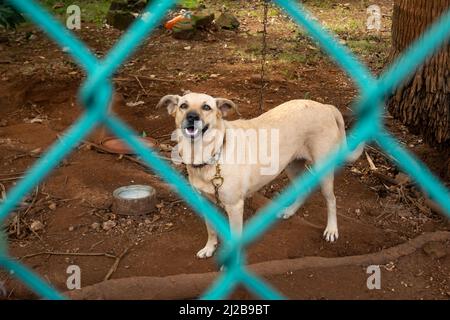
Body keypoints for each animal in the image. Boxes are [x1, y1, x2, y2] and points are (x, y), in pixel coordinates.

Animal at [157, 92, 362, 258]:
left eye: (206, 107)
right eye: (183, 105)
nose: (192, 117)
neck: (210, 154)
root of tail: (326, 107)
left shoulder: (235, 207)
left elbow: (235, 239)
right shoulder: (205, 201)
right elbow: (211, 229)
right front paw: (209, 248)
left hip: (323, 169)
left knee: (331, 199)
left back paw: (331, 230)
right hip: (291, 165)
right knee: (304, 190)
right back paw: (289, 211)